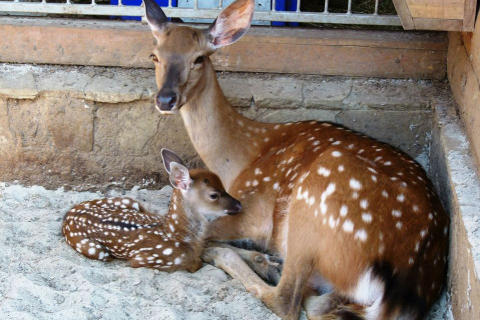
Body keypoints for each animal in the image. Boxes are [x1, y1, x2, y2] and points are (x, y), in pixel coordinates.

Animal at [142, 0, 450, 318]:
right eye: (154, 55)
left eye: (199, 58)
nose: (165, 99)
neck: (240, 158)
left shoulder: (250, 211)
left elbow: (196, 234)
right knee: (317, 304)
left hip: (316, 198)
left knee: (285, 299)